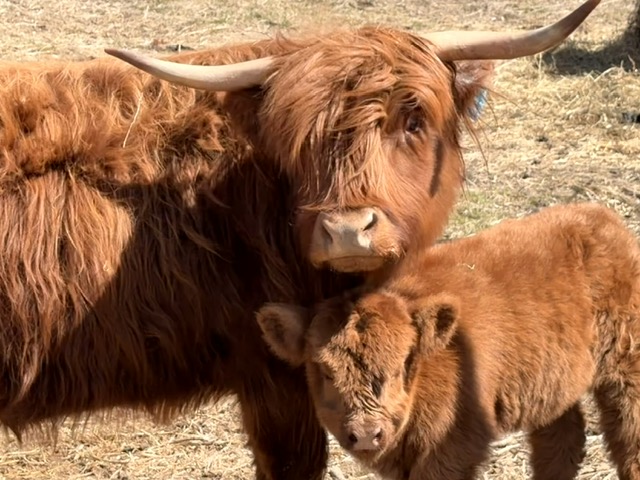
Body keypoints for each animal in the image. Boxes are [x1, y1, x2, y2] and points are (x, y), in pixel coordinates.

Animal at [257, 202, 640, 480]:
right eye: (324, 371)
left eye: (402, 364)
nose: (366, 434)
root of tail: (602, 217)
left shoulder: (453, 446)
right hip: (552, 382)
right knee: (560, 440)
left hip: (626, 365)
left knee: (628, 435)